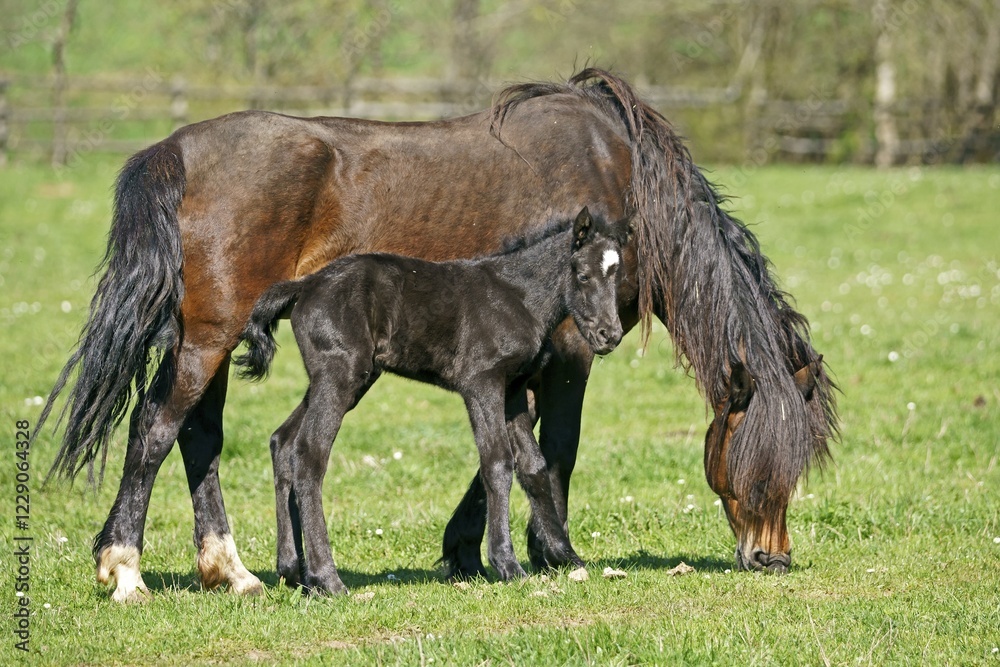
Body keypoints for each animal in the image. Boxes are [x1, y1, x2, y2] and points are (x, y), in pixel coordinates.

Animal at [234, 208, 630, 593]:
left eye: (617, 277)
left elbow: (533, 466)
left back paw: (292, 571)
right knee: (309, 453)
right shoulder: (482, 383)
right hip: (339, 375)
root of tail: (304, 285)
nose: (609, 336)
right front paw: (508, 564)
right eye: (582, 275)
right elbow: (497, 462)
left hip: (341, 380)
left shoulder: (513, 390)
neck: (518, 298)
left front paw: (564, 556)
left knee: (283, 441)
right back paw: (327, 579)